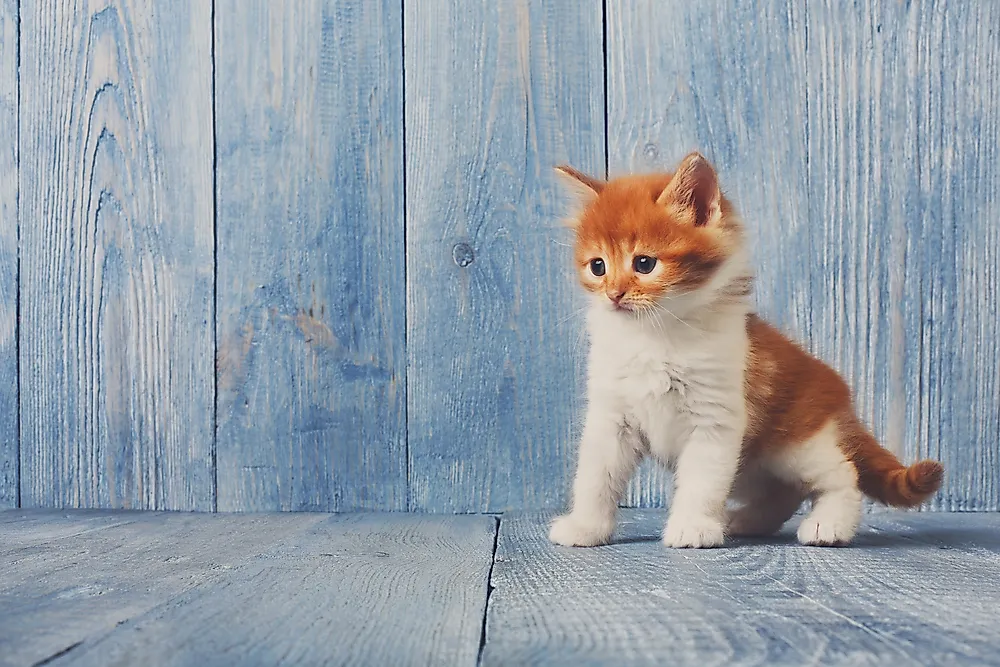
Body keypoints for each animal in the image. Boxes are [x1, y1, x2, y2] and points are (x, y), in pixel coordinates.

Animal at [552, 151, 940, 548]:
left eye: (644, 263)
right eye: (598, 266)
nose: (614, 295)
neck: (655, 336)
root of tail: (840, 398)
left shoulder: (714, 417)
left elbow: (701, 481)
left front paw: (692, 526)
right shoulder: (611, 417)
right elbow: (595, 477)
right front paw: (586, 526)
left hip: (795, 443)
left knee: (842, 473)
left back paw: (829, 524)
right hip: (752, 467)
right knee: (785, 493)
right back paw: (746, 521)